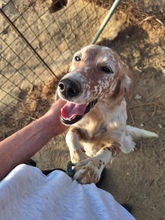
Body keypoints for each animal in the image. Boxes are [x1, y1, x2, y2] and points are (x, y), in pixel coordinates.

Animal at [57, 44, 159, 184]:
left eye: (106, 69)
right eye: (77, 58)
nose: (67, 86)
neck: (97, 117)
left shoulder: (116, 144)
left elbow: (106, 151)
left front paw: (91, 168)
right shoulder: (76, 128)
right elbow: (70, 136)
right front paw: (77, 159)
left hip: (124, 141)